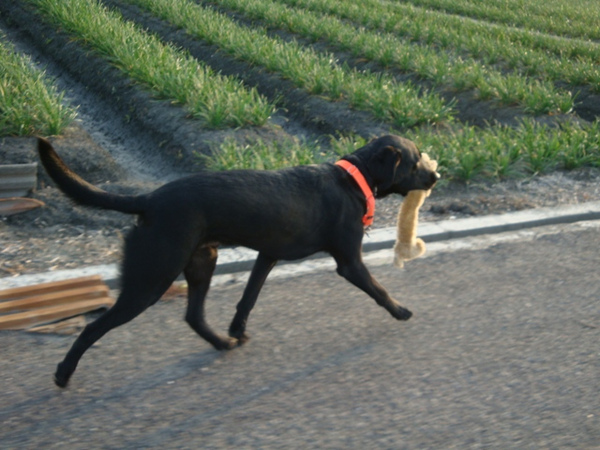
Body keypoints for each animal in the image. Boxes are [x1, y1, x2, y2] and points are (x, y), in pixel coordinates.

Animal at [38, 134, 440, 386]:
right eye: (415, 161)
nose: (436, 175)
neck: (353, 177)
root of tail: (147, 200)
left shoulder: (268, 254)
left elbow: (248, 298)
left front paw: (237, 330)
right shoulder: (349, 262)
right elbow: (378, 289)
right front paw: (401, 310)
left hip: (202, 262)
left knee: (194, 315)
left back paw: (221, 343)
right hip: (151, 278)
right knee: (93, 327)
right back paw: (63, 373)